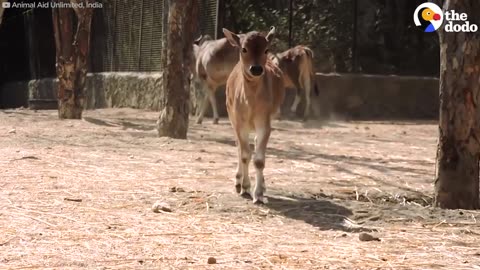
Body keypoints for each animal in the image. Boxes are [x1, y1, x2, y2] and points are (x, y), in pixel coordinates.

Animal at [224, 26, 286, 205]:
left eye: (266, 49)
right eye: (244, 48)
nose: (256, 69)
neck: (250, 104)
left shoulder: (264, 121)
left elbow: (258, 159)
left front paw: (258, 194)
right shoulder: (239, 122)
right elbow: (245, 154)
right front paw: (245, 187)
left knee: (256, 144)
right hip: (231, 115)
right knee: (239, 147)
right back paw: (238, 182)